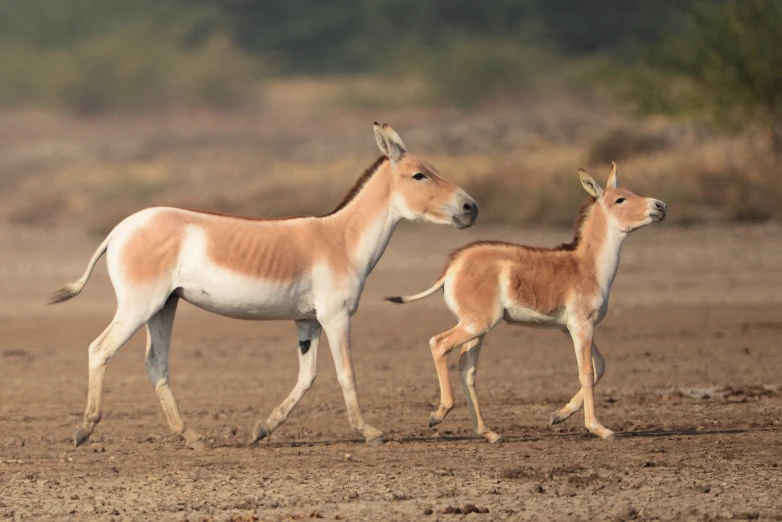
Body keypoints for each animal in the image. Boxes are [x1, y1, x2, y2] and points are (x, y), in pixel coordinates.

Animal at [52, 123, 478, 446]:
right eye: (419, 175)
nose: (470, 207)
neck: (341, 239)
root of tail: (120, 228)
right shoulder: (336, 316)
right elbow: (347, 373)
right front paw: (369, 432)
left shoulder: (308, 321)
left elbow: (307, 377)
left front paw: (262, 428)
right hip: (139, 305)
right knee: (99, 349)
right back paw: (84, 430)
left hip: (164, 306)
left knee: (156, 364)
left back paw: (191, 436)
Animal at [386, 162, 668, 438]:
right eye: (621, 199)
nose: (661, 206)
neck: (587, 266)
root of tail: (453, 265)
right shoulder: (581, 325)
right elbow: (587, 372)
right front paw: (598, 428)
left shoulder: (570, 328)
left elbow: (600, 365)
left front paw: (559, 415)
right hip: (477, 323)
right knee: (439, 343)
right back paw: (440, 413)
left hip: (476, 326)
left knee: (466, 368)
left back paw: (487, 431)